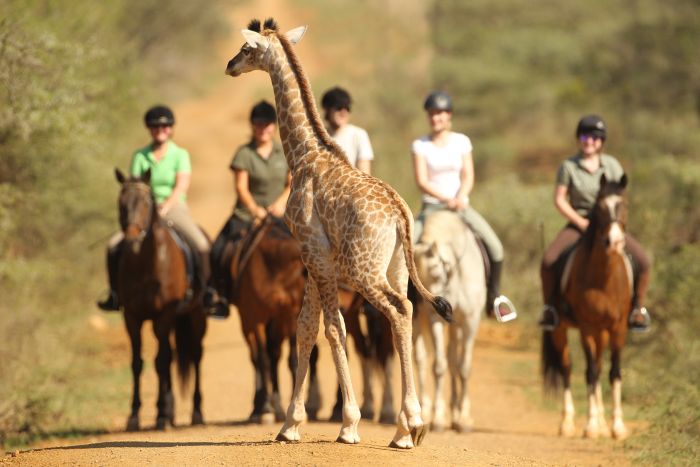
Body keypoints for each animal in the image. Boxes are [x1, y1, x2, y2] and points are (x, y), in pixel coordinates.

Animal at [115, 168, 206, 432]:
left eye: (147, 202)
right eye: (121, 203)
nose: (132, 238)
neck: (146, 265)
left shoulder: (163, 316)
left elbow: (161, 362)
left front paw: (161, 416)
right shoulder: (131, 317)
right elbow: (138, 363)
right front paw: (134, 416)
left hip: (196, 317)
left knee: (195, 355)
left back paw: (196, 413)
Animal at [226, 18, 454, 450]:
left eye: (247, 50)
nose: (230, 65)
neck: (304, 155)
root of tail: (399, 214)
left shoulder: (313, 252)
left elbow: (332, 329)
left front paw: (347, 424)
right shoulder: (315, 258)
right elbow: (305, 327)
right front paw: (290, 425)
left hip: (364, 269)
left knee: (398, 310)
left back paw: (409, 425)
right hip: (396, 267)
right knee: (406, 311)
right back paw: (405, 429)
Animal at [412, 210, 484, 434]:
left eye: (436, 271)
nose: (431, 304)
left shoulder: (470, 321)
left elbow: (464, 367)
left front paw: (464, 419)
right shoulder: (435, 321)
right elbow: (439, 366)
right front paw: (437, 419)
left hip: (457, 327)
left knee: (455, 360)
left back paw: (456, 412)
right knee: (422, 361)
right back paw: (426, 411)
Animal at [540, 174, 636, 440]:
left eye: (624, 204)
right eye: (600, 207)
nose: (614, 242)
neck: (604, 280)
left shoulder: (618, 327)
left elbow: (614, 372)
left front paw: (616, 426)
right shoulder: (586, 327)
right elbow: (590, 372)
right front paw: (591, 426)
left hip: (602, 332)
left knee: (600, 368)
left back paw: (602, 423)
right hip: (561, 329)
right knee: (567, 368)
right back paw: (568, 423)